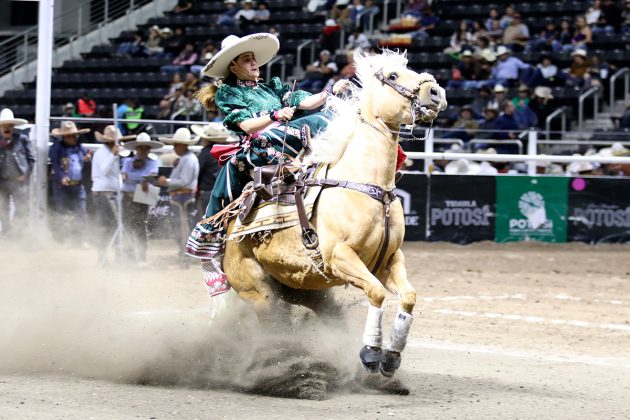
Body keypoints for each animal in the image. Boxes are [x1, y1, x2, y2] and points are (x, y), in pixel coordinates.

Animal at [225, 50, 446, 378]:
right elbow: (377, 293)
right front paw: (371, 353)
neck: (366, 186)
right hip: (258, 292)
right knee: (274, 326)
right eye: (392, 76)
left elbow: (408, 297)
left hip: (307, 291)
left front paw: (391, 357)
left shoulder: (390, 259)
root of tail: (228, 229)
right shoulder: (339, 256)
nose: (436, 93)